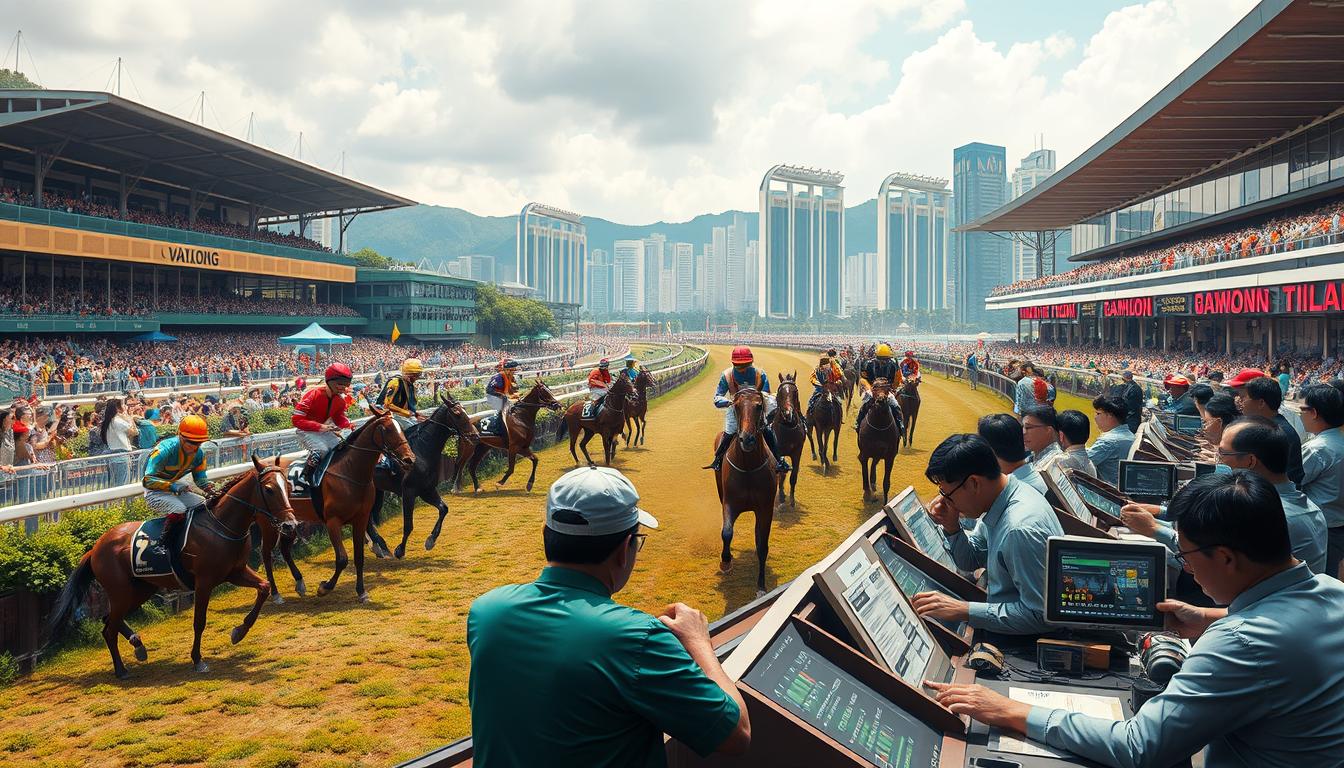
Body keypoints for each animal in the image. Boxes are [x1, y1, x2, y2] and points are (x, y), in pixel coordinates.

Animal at [48, 457, 302, 677]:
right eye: (269, 489)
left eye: (287, 485)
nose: (290, 525)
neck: (222, 525)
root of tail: (95, 548)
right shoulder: (204, 582)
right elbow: (199, 621)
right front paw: (198, 660)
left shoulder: (235, 571)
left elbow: (264, 587)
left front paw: (239, 631)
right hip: (121, 592)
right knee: (109, 628)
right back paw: (121, 670)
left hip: (141, 589)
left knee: (108, 620)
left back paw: (138, 645)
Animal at [254, 411, 411, 605]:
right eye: (387, 430)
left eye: (401, 428)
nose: (409, 459)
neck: (349, 472)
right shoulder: (333, 522)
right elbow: (342, 559)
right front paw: (324, 587)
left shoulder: (361, 518)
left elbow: (359, 557)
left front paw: (362, 592)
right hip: (268, 523)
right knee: (266, 554)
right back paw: (276, 594)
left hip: (289, 522)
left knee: (284, 549)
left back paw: (299, 583)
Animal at [370, 392, 481, 562]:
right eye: (457, 414)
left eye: (464, 410)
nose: (475, 436)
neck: (421, 451)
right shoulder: (409, 491)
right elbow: (408, 525)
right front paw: (400, 550)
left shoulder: (427, 490)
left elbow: (444, 509)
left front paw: (431, 540)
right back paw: (379, 546)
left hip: (377, 491)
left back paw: (378, 546)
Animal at [715, 387, 779, 597]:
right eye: (736, 406)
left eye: (759, 406)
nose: (747, 439)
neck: (749, 468)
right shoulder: (729, 503)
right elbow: (727, 532)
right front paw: (725, 562)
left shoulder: (765, 508)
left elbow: (762, 546)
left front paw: (761, 587)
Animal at [768, 373, 806, 511]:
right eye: (780, 393)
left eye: (795, 392)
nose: (788, 413)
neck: (788, 426)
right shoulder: (778, 451)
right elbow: (781, 472)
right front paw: (781, 497)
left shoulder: (797, 452)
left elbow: (793, 475)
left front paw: (792, 501)